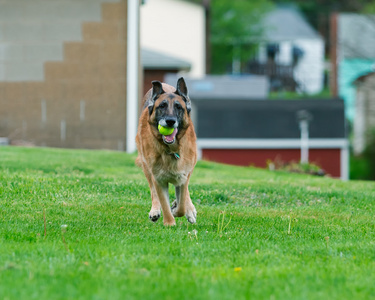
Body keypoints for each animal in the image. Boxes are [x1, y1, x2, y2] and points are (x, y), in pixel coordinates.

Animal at [137, 78, 198, 226]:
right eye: (162, 106)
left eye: (179, 107)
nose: (170, 121)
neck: (170, 150)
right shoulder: (158, 179)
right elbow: (163, 202)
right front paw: (169, 223)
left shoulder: (184, 175)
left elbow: (182, 204)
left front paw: (178, 209)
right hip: (146, 168)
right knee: (153, 191)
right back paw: (155, 210)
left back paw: (189, 210)